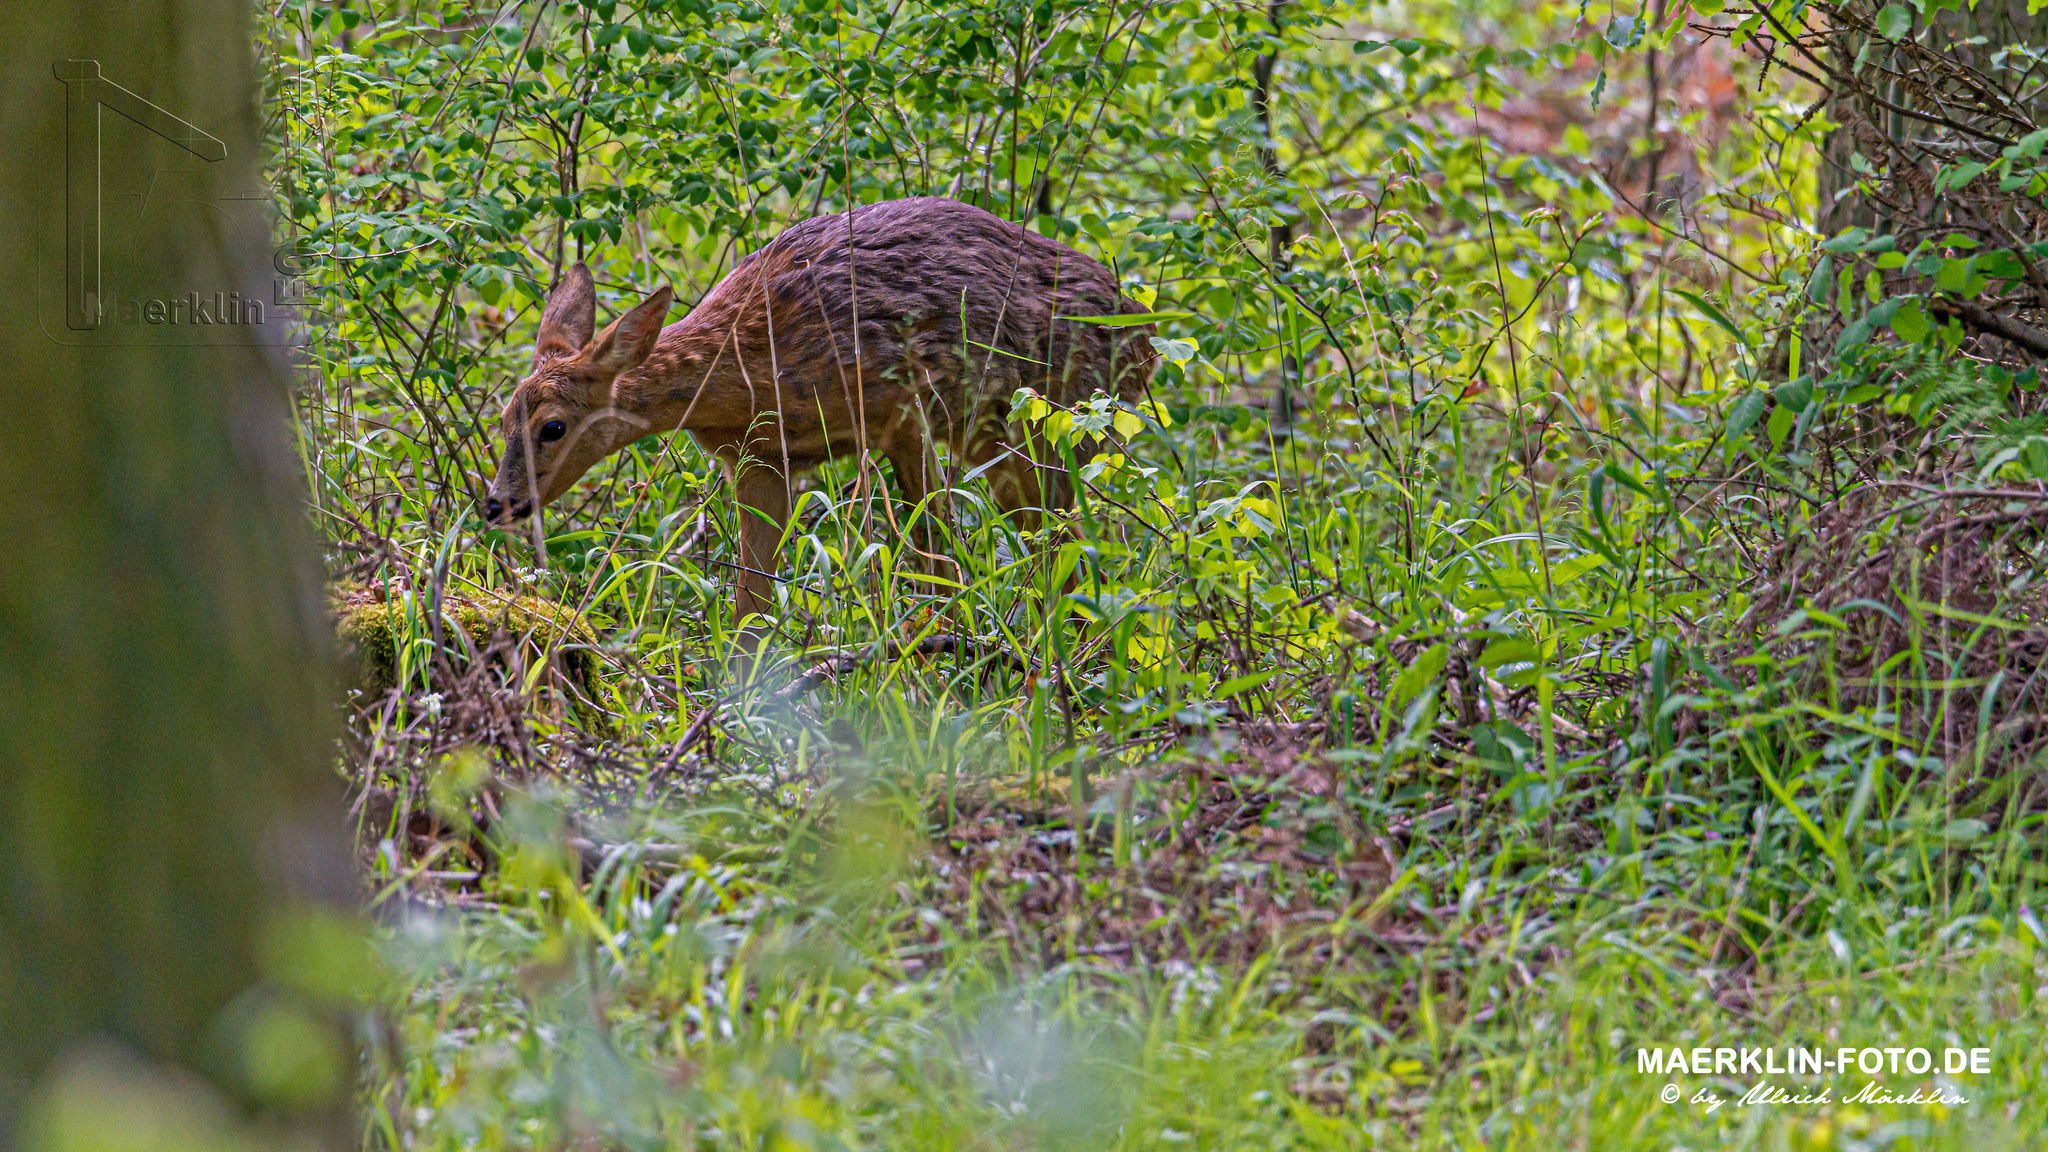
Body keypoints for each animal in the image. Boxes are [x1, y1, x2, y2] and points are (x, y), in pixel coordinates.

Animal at [477, 193, 1155, 631]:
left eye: (553, 427)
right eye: (502, 420)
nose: (497, 504)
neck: (754, 367)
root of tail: (1144, 338)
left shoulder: (902, 409)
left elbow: (938, 556)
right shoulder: (760, 461)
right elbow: (750, 604)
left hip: (1039, 426)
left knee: (1067, 546)